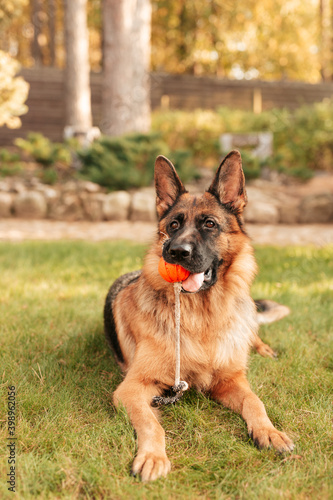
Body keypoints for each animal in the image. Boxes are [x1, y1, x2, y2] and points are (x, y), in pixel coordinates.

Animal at [104, 151, 294, 480]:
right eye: (173, 225)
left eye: (209, 224)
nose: (177, 252)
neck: (202, 317)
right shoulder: (132, 388)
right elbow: (151, 424)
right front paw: (152, 456)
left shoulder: (231, 380)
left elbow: (255, 402)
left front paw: (269, 431)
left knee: (252, 330)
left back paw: (262, 347)